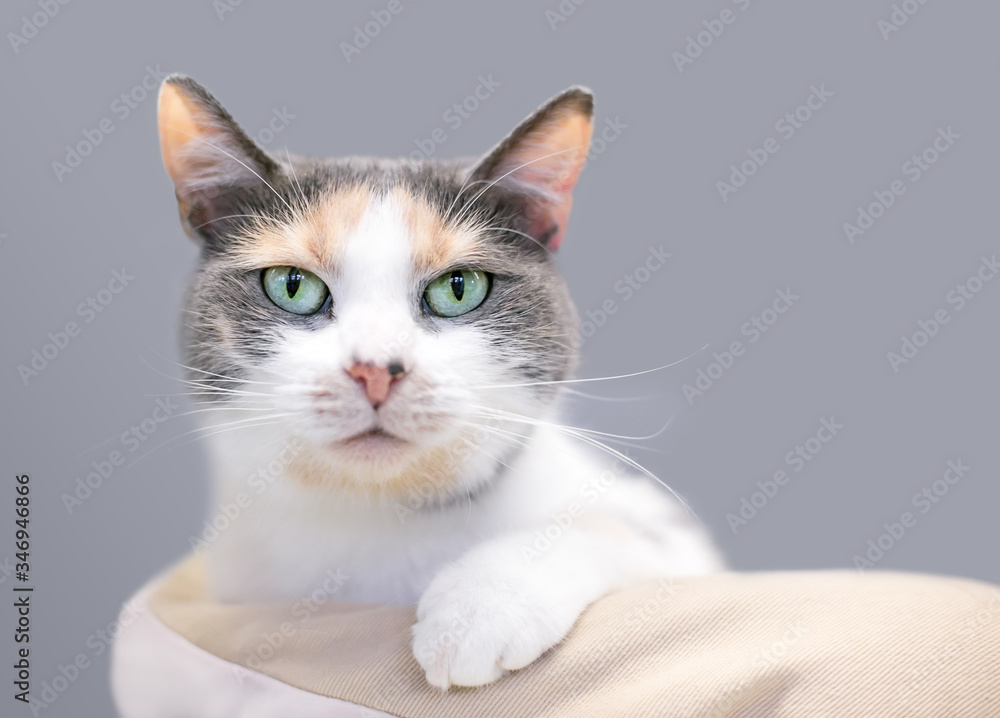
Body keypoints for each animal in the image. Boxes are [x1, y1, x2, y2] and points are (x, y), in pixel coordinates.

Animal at [154, 74, 720, 692]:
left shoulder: (671, 537)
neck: (380, 522)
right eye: (292, 285)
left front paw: (482, 608)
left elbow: (607, 528)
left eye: (459, 288)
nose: (376, 369)